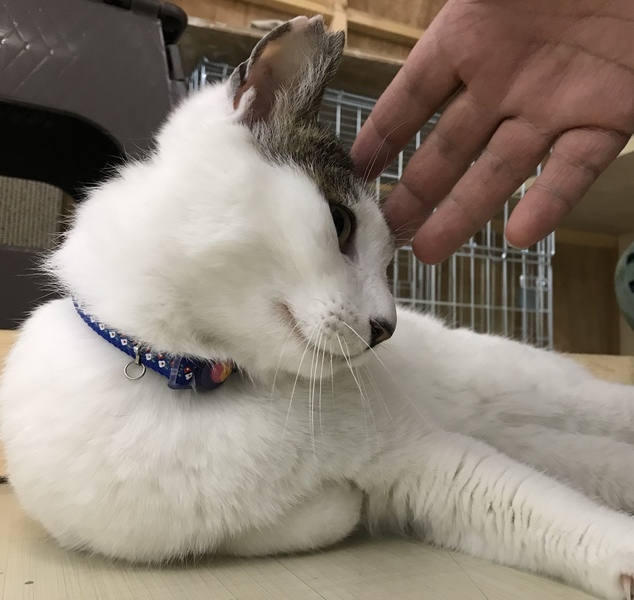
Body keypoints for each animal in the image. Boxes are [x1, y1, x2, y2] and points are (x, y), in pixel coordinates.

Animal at [2, 15, 634, 600]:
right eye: (341, 222)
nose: (387, 327)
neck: (194, 377)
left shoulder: (423, 452)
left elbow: (540, 508)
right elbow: (316, 518)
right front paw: (337, 505)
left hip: (536, 390)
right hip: (527, 431)